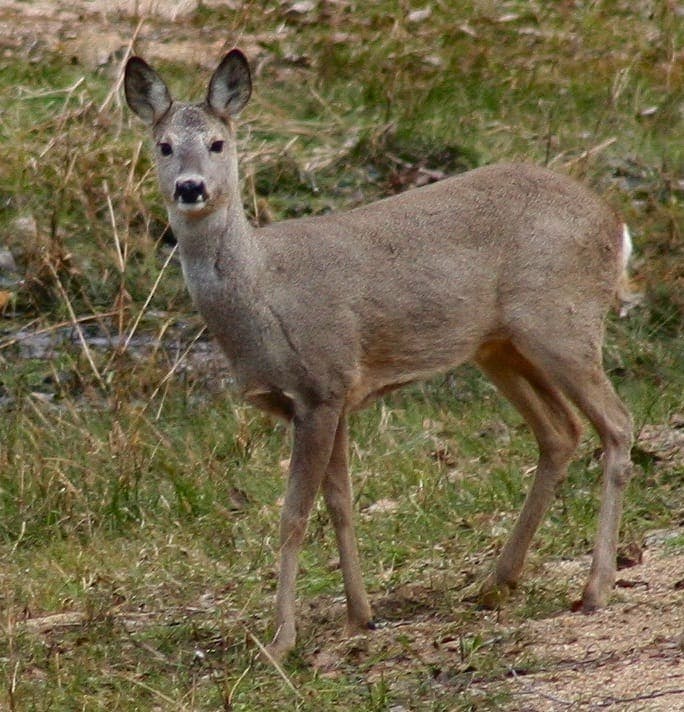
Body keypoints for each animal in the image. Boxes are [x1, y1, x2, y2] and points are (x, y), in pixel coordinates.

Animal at [124, 48, 636, 660]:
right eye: (164, 146)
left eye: (218, 143)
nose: (190, 188)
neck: (263, 294)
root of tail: (616, 224)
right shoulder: (335, 395)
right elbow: (340, 503)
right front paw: (359, 615)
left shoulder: (321, 384)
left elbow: (294, 515)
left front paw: (281, 639)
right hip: (500, 346)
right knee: (561, 431)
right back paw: (494, 583)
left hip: (564, 322)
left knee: (617, 424)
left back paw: (595, 589)